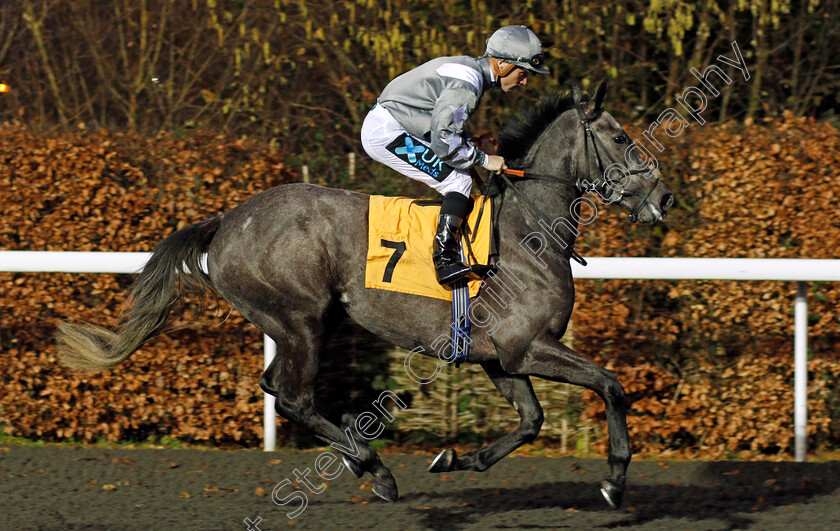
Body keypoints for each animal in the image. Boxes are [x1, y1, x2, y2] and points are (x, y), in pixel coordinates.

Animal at [59, 81, 672, 510]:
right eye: (620, 137)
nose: (664, 197)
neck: (528, 230)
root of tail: (228, 220)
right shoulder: (528, 347)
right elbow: (611, 386)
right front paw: (615, 480)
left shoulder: (500, 357)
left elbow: (531, 421)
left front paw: (455, 458)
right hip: (303, 318)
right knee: (293, 397)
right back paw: (376, 470)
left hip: (297, 323)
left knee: (275, 388)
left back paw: (361, 463)